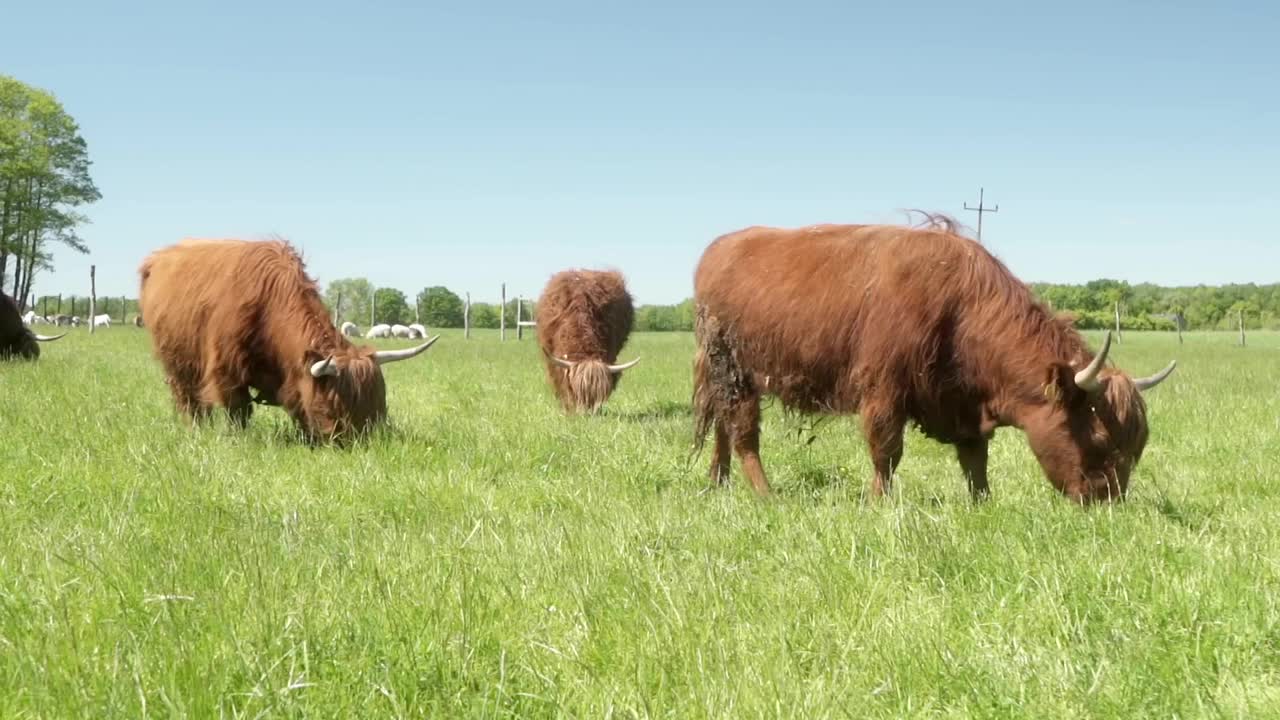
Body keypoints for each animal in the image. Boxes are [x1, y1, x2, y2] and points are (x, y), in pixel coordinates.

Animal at [138, 237, 440, 438]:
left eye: (380, 403)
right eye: (336, 407)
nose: (365, 441)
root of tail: (156, 258)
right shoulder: (226, 371)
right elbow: (238, 410)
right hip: (176, 363)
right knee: (188, 399)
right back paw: (195, 430)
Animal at [696, 215, 1172, 502]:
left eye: (1137, 447)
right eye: (1100, 438)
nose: (1108, 501)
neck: (961, 307)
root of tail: (718, 248)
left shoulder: (965, 405)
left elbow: (976, 461)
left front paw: (983, 504)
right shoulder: (884, 392)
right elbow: (886, 452)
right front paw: (879, 504)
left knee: (722, 426)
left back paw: (718, 483)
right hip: (735, 372)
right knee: (743, 433)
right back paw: (766, 495)